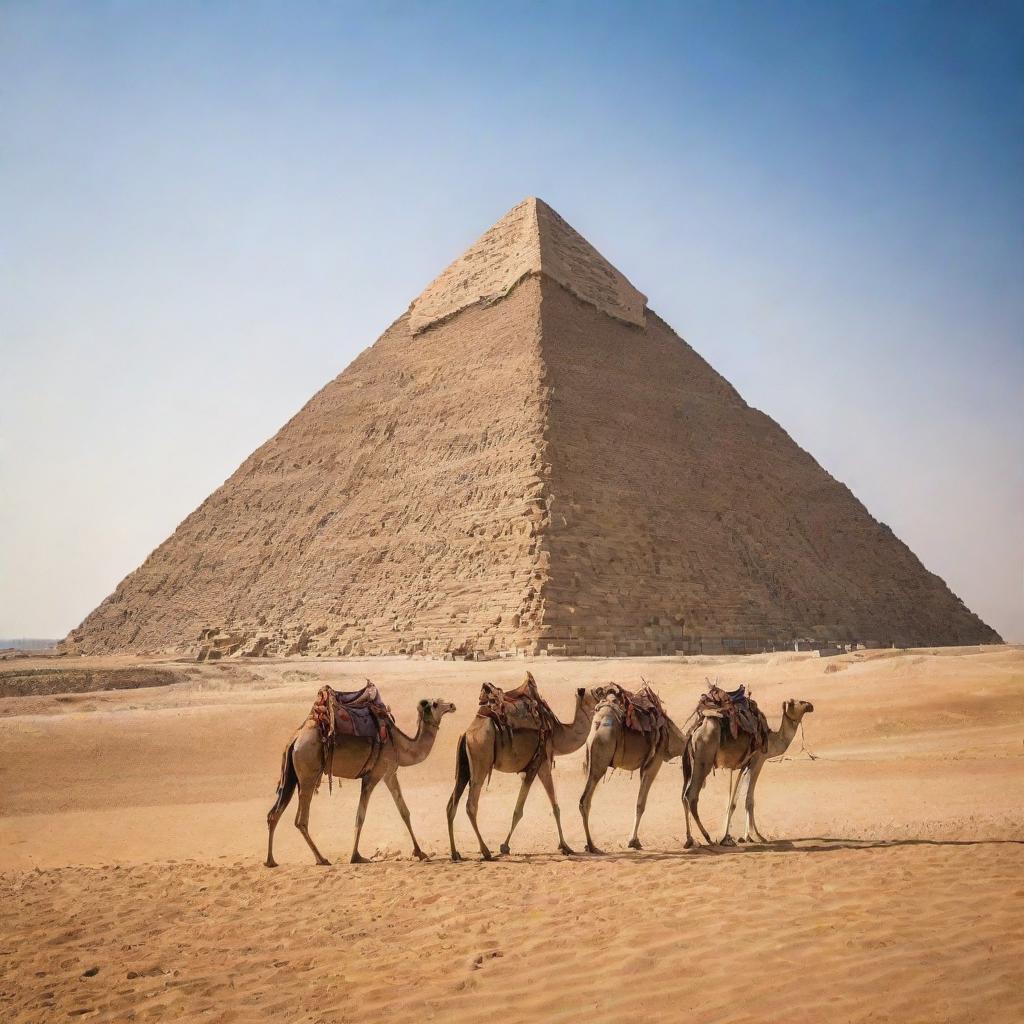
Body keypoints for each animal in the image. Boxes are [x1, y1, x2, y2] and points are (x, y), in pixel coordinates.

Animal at [264, 696, 456, 864]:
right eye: (436, 704)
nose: (452, 705)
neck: (400, 745)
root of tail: (295, 739)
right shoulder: (373, 776)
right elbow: (360, 816)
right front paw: (356, 856)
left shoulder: (390, 774)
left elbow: (404, 812)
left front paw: (420, 853)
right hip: (308, 774)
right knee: (301, 820)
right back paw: (322, 859)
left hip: (291, 776)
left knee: (274, 814)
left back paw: (270, 861)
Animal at [444, 675, 602, 860]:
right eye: (599, 691)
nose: (609, 700)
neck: (558, 731)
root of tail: (466, 734)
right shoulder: (540, 762)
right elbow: (525, 809)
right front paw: (505, 846)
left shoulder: (535, 766)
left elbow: (552, 807)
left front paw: (564, 846)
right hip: (480, 761)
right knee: (470, 805)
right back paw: (486, 851)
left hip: (464, 768)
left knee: (451, 804)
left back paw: (455, 853)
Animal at [577, 692, 688, 851]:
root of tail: (597, 725)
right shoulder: (655, 760)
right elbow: (640, 804)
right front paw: (633, 841)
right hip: (600, 760)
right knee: (585, 800)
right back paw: (592, 846)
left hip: (589, 759)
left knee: (584, 799)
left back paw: (589, 845)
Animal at [679, 696, 815, 847]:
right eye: (799, 702)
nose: (811, 706)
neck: (771, 740)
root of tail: (695, 730)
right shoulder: (757, 760)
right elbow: (749, 800)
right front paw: (757, 836)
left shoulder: (744, 766)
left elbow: (734, 801)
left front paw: (734, 836)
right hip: (704, 758)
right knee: (691, 795)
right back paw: (707, 837)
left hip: (689, 764)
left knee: (683, 795)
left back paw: (690, 839)